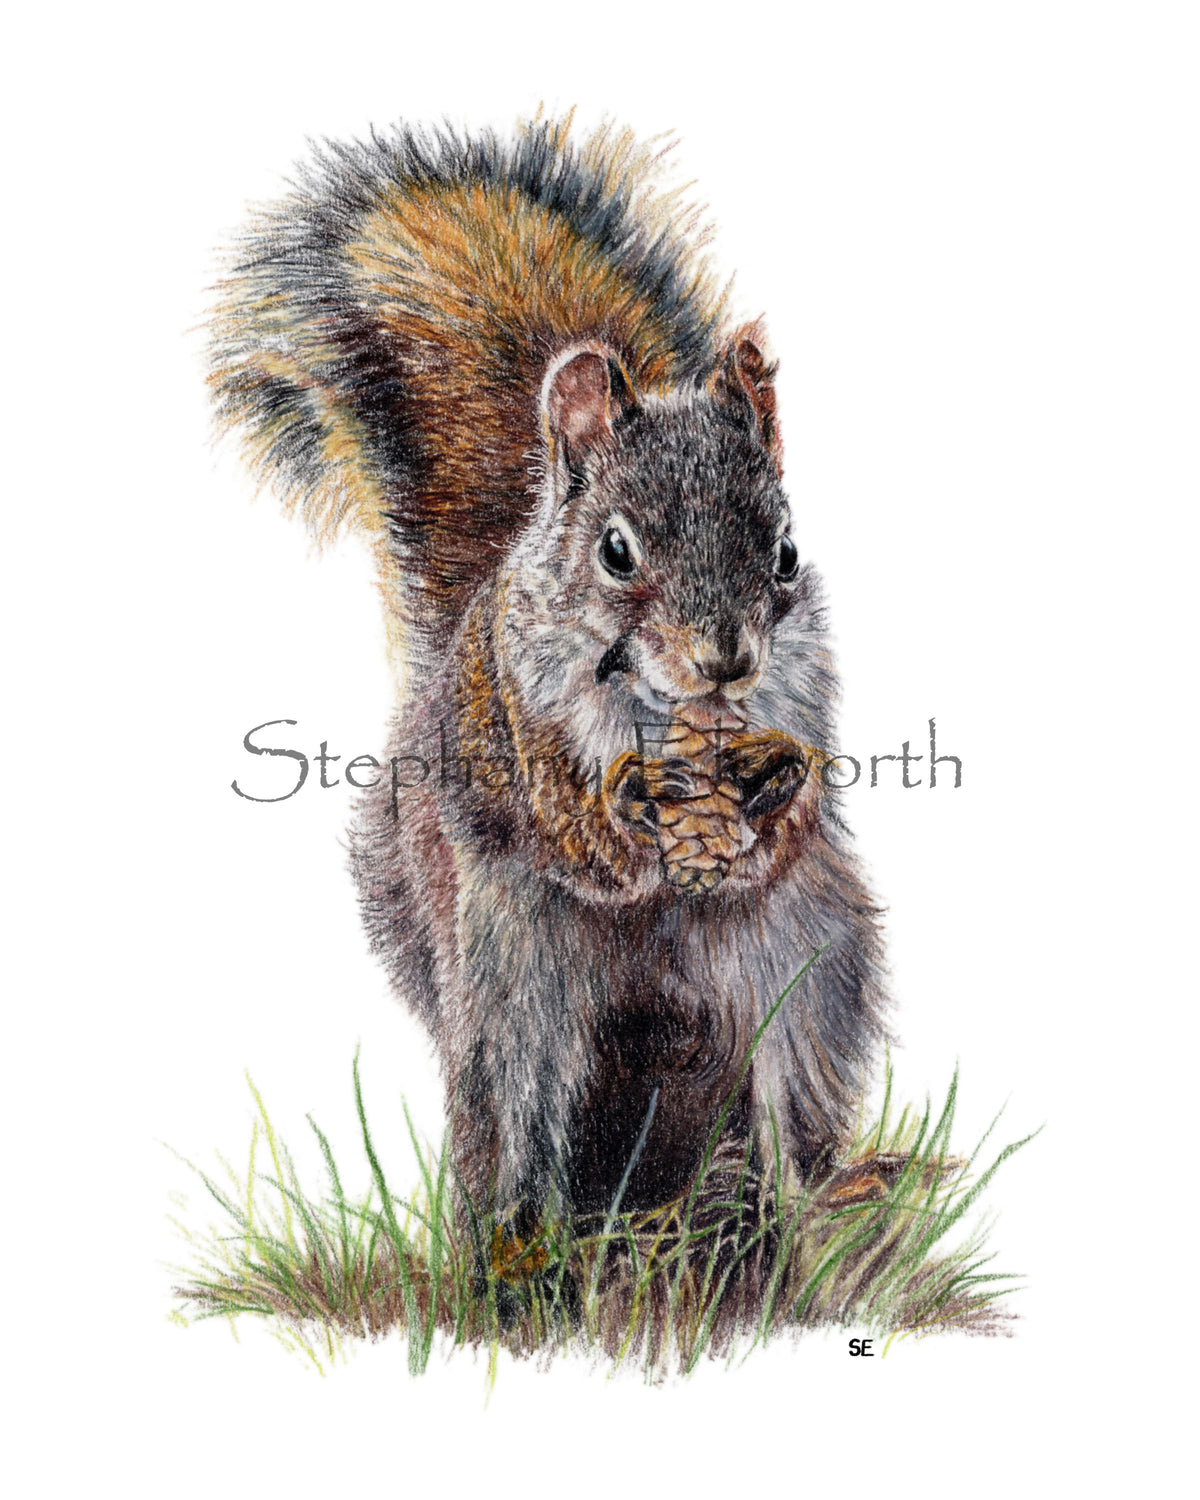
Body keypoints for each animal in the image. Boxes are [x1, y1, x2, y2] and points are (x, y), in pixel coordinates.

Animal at [209, 115, 886, 1225]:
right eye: (615, 551)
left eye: (787, 551)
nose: (727, 660)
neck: (664, 706)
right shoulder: (518, 721)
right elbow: (572, 831)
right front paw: (630, 802)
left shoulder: (807, 693)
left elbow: (799, 807)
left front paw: (773, 787)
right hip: (508, 979)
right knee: (514, 1108)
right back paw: (519, 1230)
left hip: (811, 971)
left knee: (788, 1094)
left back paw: (812, 1194)